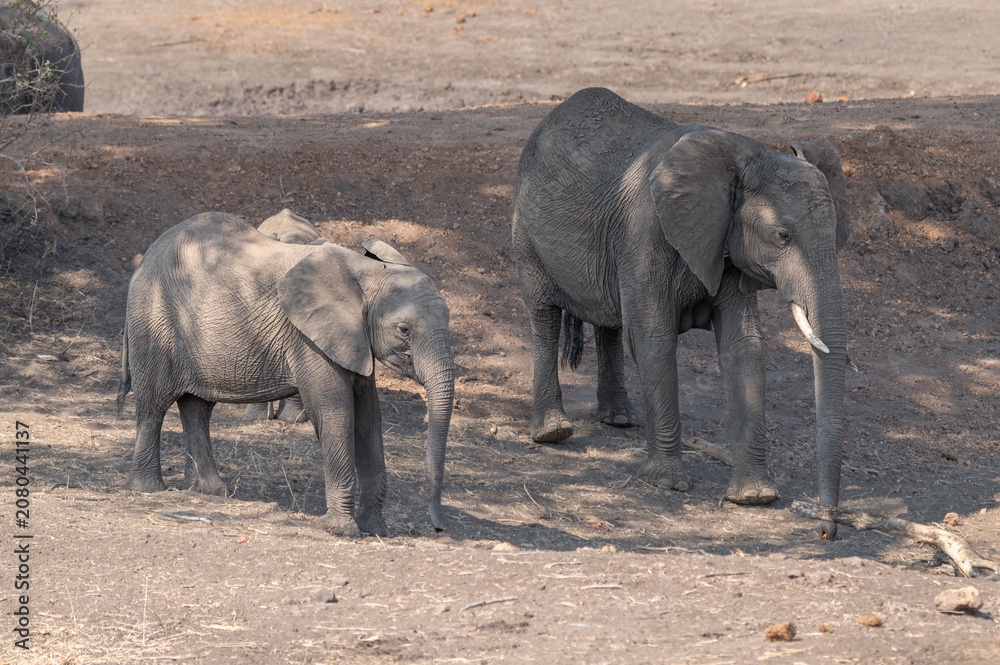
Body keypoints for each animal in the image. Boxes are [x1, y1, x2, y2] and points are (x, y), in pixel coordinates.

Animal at [512, 88, 850, 537]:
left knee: (610, 322)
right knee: (545, 316)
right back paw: (554, 433)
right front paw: (669, 484)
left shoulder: (723, 247)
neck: (739, 163)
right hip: (526, 231)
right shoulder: (646, 234)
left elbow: (743, 347)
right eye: (782, 236)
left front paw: (754, 498)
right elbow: (653, 340)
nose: (826, 528)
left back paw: (620, 419)